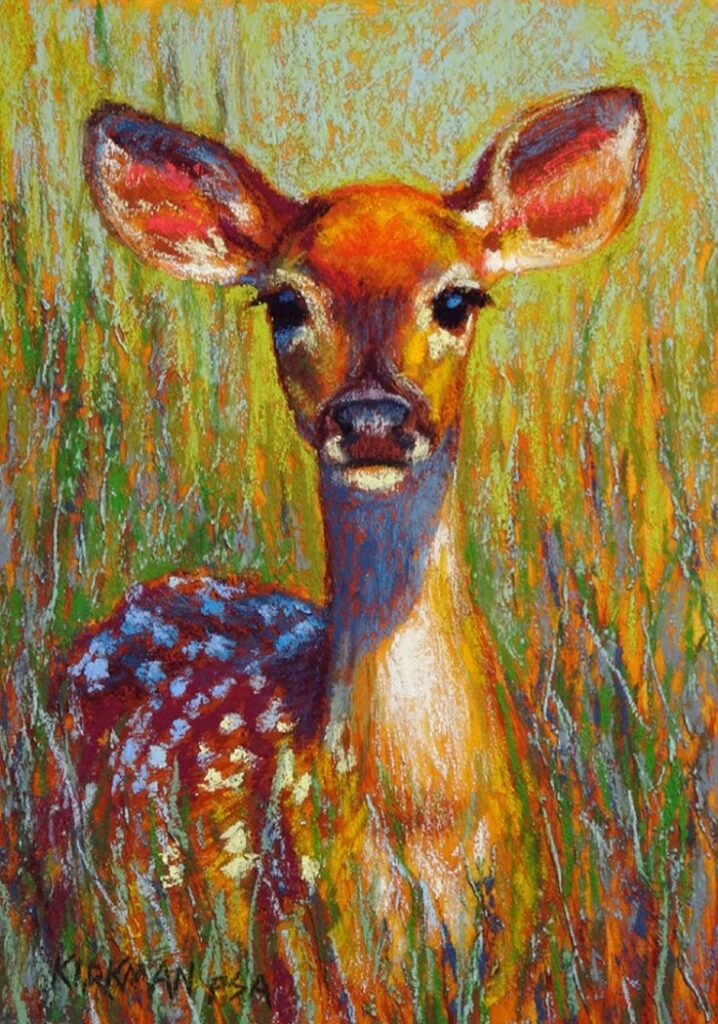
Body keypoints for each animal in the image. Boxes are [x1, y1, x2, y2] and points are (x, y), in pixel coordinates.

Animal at [44, 87, 647, 1023]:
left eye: (460, 300)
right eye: (284, 304)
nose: (371, 418)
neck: (422, 818)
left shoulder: (516, 957)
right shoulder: (299, 951)